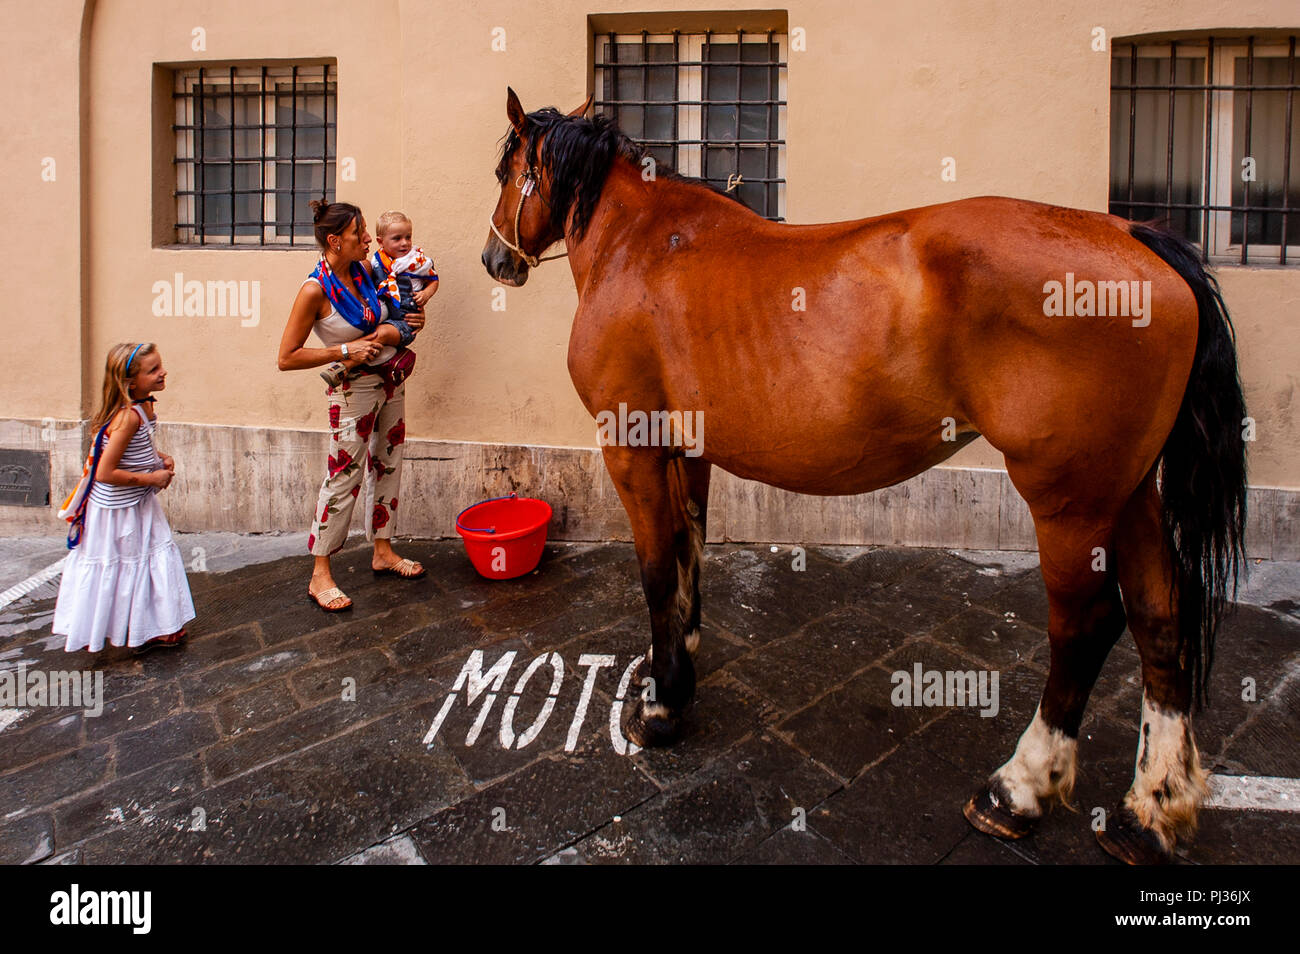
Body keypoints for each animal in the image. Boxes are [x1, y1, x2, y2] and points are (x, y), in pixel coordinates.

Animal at [481, 88, 1247, 865]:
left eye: (506, 170)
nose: (494, 259)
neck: (639, 247)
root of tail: (1134, 237)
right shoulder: (687, 451)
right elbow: (689, 550)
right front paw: (682, 655)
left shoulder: (630, 448)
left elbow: (657, 570)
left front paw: (664, 704)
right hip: (1130, 492)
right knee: (1159, 616)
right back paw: (1150, 808)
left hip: (1069, 499)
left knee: (1085, 626)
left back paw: (1017, 788)